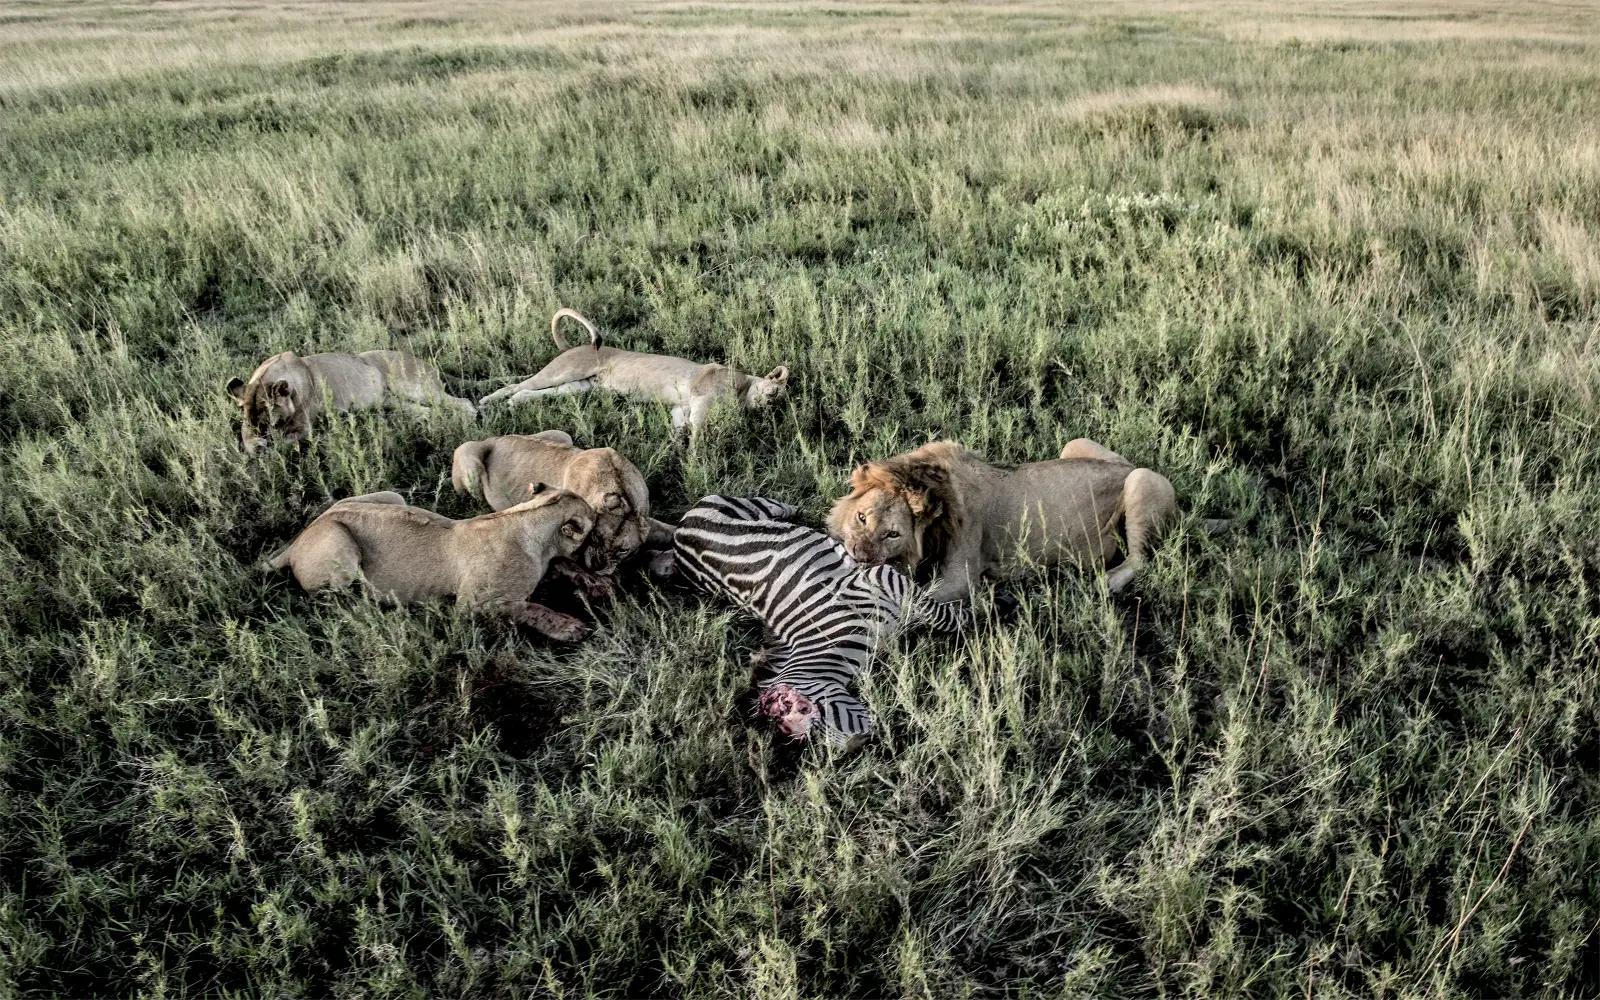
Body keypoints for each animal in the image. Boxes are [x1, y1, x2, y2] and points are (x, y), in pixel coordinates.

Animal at [226, 350, 475, 455]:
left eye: (268, 408)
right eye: (243, 410)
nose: (260, 430)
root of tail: (425, 362)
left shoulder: (305, 426)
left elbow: (285, 442)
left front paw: (268, 449)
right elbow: (246, 438)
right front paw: (256, 447)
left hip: (415, 387)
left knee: (461, 402)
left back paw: (469, 416)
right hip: (392, 401)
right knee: (425, 411)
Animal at [262, 486, 598, 641]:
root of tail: (301, 536)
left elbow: (562, 567)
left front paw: (590, 582)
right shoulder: (471, 605)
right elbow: (530, 607)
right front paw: (568, 626)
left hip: (389, 497)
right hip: (339, 545)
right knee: (330, 601)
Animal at [451, 429, 674, 569]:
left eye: (622, 551)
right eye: (596, 537)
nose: (597, 567)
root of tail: (492, 438)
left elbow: (669, 531)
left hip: (561, 435)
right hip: (469, 458)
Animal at [477, 309, 789, 440]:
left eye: (777, 403)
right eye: (774, 392)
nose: (768, 405)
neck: (744, 387)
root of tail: (575, 347)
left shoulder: (680, 406)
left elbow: (680, 425)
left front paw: (678, 448)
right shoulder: (703, 394)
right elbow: (699, 427)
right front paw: (696, 456)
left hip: (579, 386)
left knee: (528, 392)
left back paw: (512, 404)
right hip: (564, 371)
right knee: (517, 385)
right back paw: (487, 402)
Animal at [827, 438, 1177, 600]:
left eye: (893, 534)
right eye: (861, 518)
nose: (860, 554)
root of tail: (1126, 466)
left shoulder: (961, 578)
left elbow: (909, 602)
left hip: (1143, 480)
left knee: (1140, 559)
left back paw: (1106, 581)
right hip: (1076, 445)